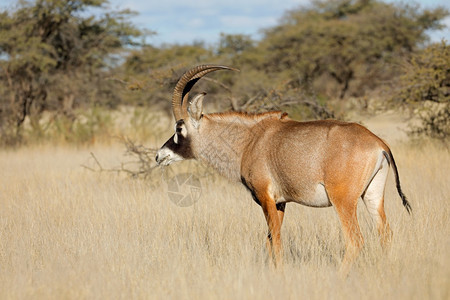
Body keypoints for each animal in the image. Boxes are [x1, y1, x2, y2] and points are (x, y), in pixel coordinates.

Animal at [157, 64, 412, 276]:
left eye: (179, 128)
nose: (160, 156)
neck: (249, 140)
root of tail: (379, 143)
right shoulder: (280, 203)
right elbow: (270, 239)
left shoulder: (266, 198)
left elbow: (276, 240)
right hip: (372, 196)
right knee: (385, 234)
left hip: (343, 201)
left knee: (355, 240)